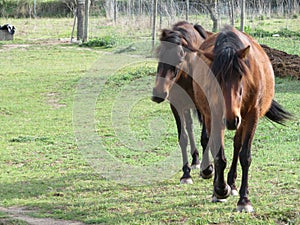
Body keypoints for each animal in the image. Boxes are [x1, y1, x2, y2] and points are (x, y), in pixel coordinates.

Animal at [151, 21, 214, 184]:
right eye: (159, 54)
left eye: (179, 57)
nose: (158, 94)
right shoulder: (176, 106)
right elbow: (183, 138)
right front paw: (186, 174)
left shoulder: (204, 106)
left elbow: (205, 137)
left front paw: (207, 169)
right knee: (190, 127)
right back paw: (195, 160)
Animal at [191, 25, 292, 212]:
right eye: (216, 78)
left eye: (240, 76)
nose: (231, 120)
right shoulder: (215, 116)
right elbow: (219, 155)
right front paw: (220, 190)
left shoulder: (251, 116)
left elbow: (245, 156)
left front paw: (244, 200)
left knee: (237, 145)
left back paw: (232, 183)